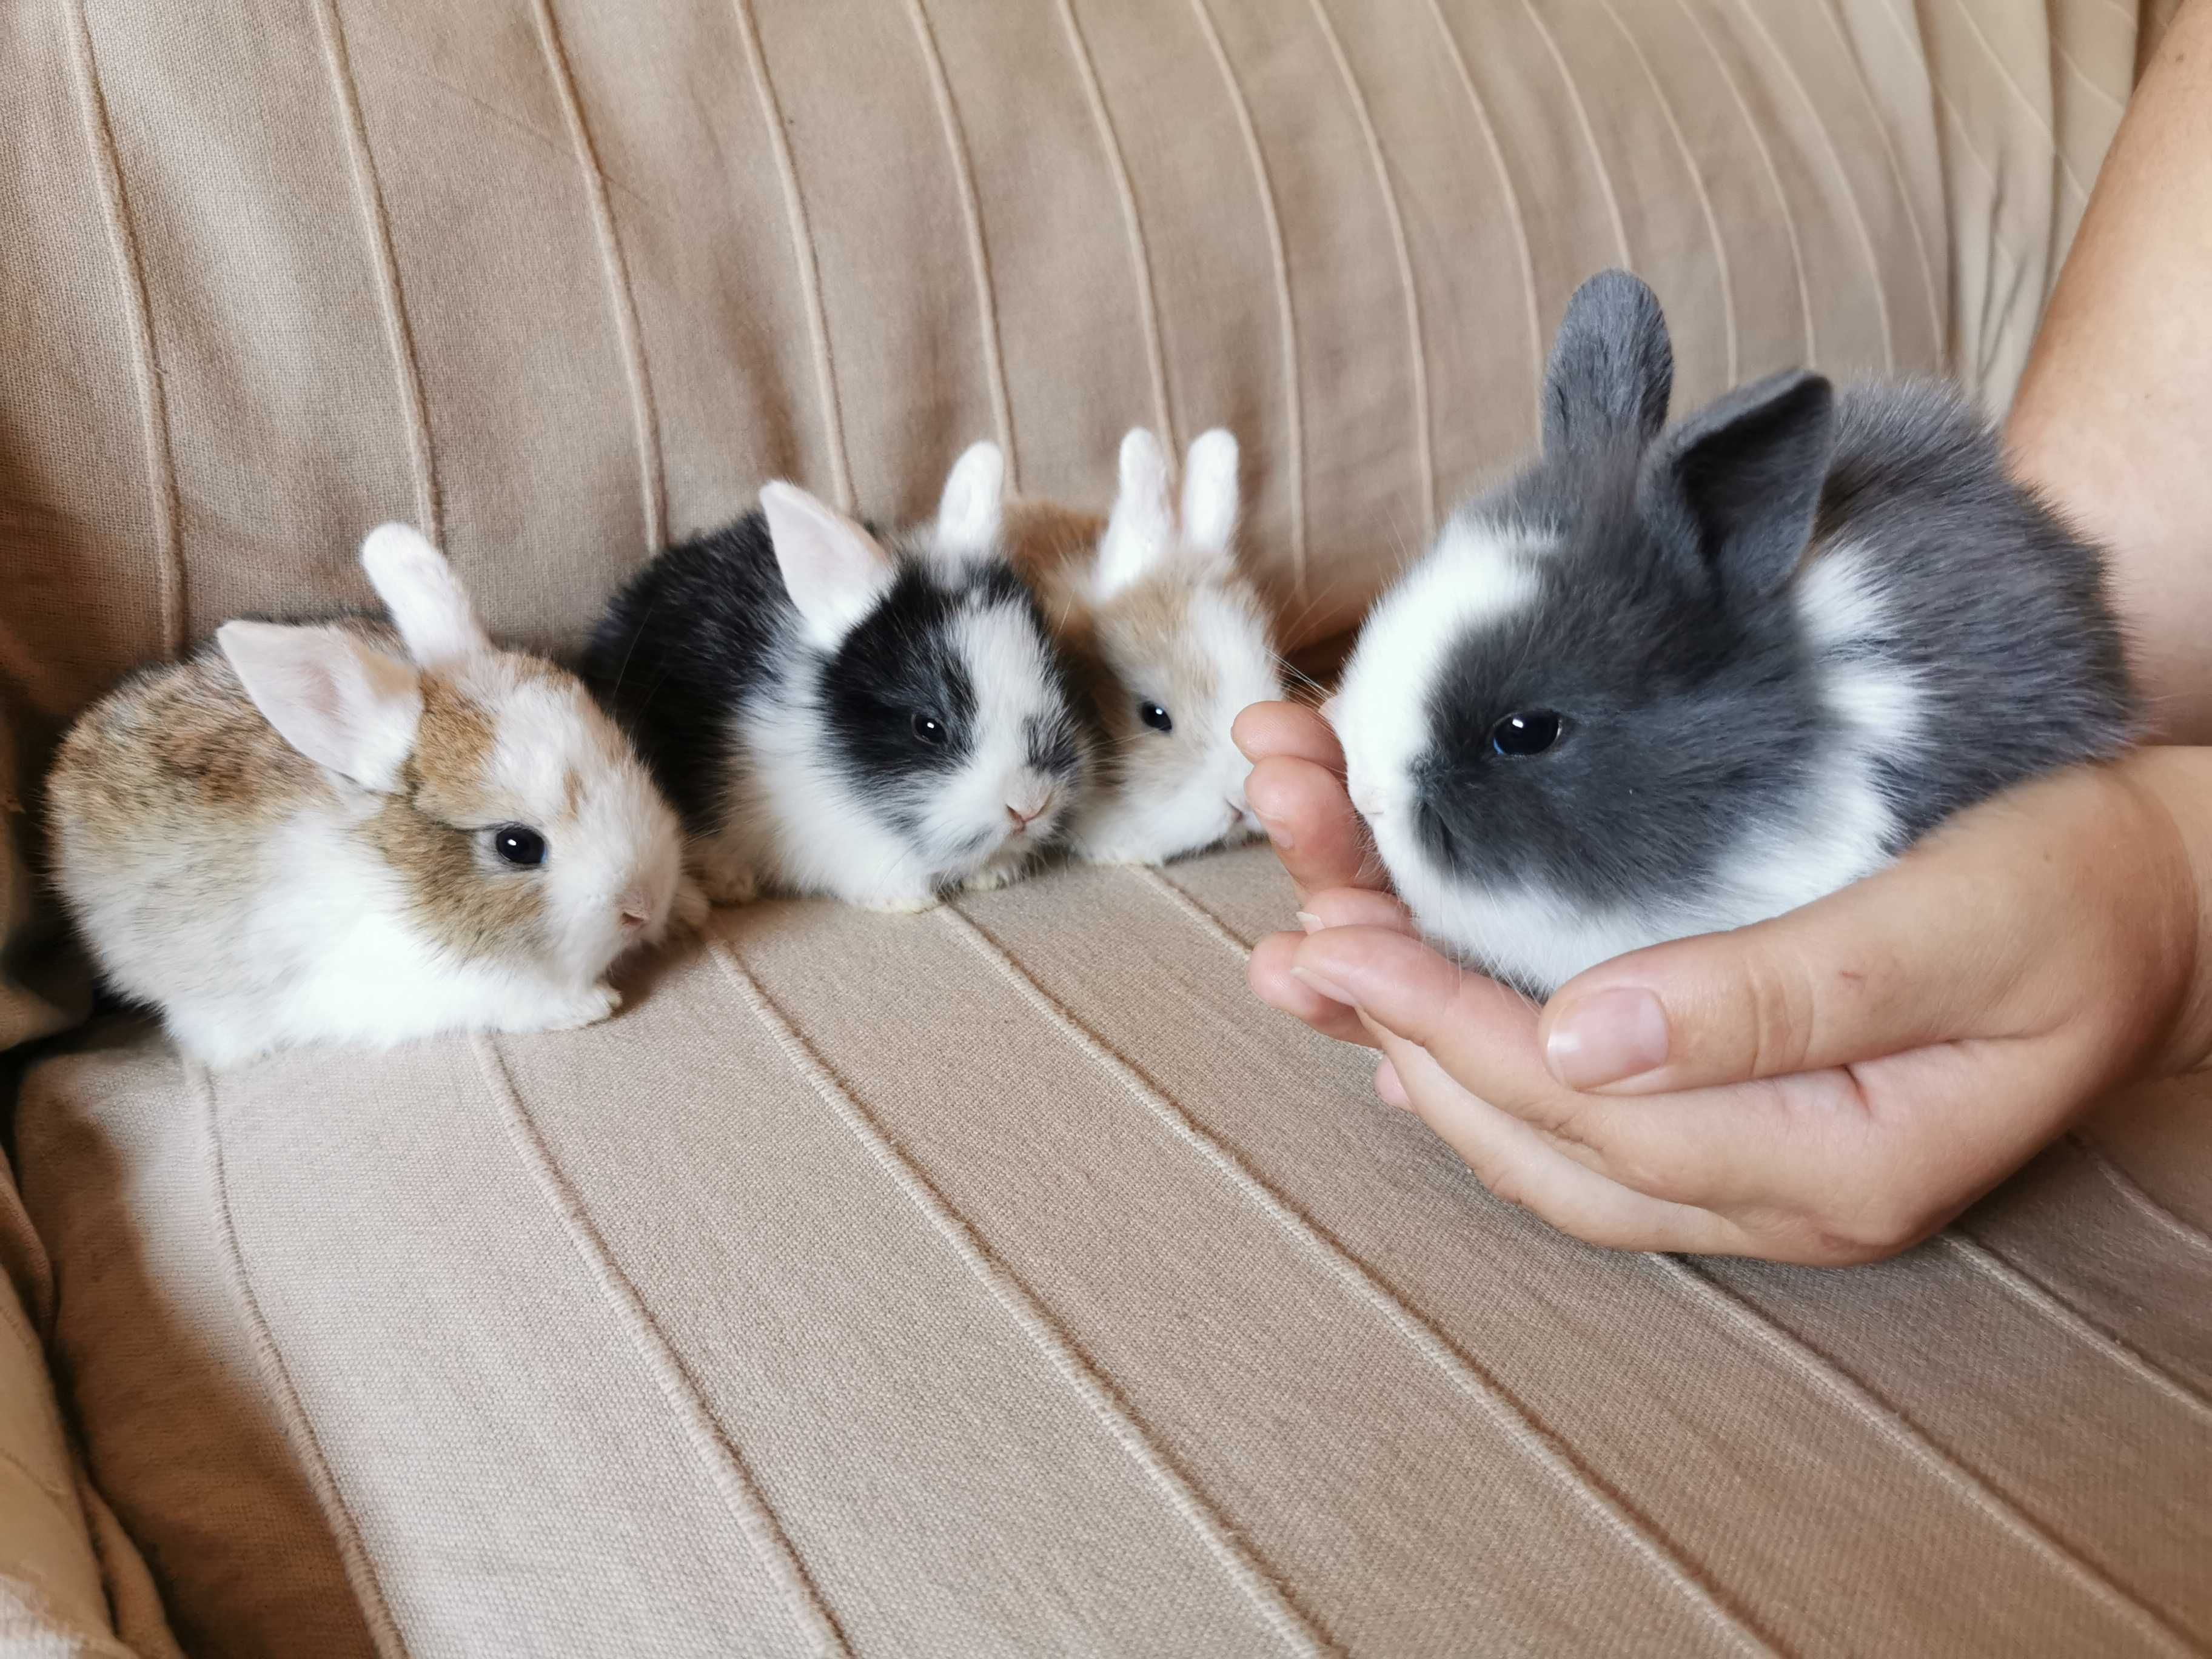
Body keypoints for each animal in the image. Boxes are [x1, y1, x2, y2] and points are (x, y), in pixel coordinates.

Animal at [45, 526, 699, 1066]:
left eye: (625, 752)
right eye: (517, 846)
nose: (643, 906)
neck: (398, 871)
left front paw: (690, 909)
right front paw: (590, 1005)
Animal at [584, 444, 1093, 911]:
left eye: (1057, 679)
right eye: (928, 727)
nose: (1030, 805)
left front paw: (994, 874)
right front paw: (908, 900)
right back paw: (730, 882)